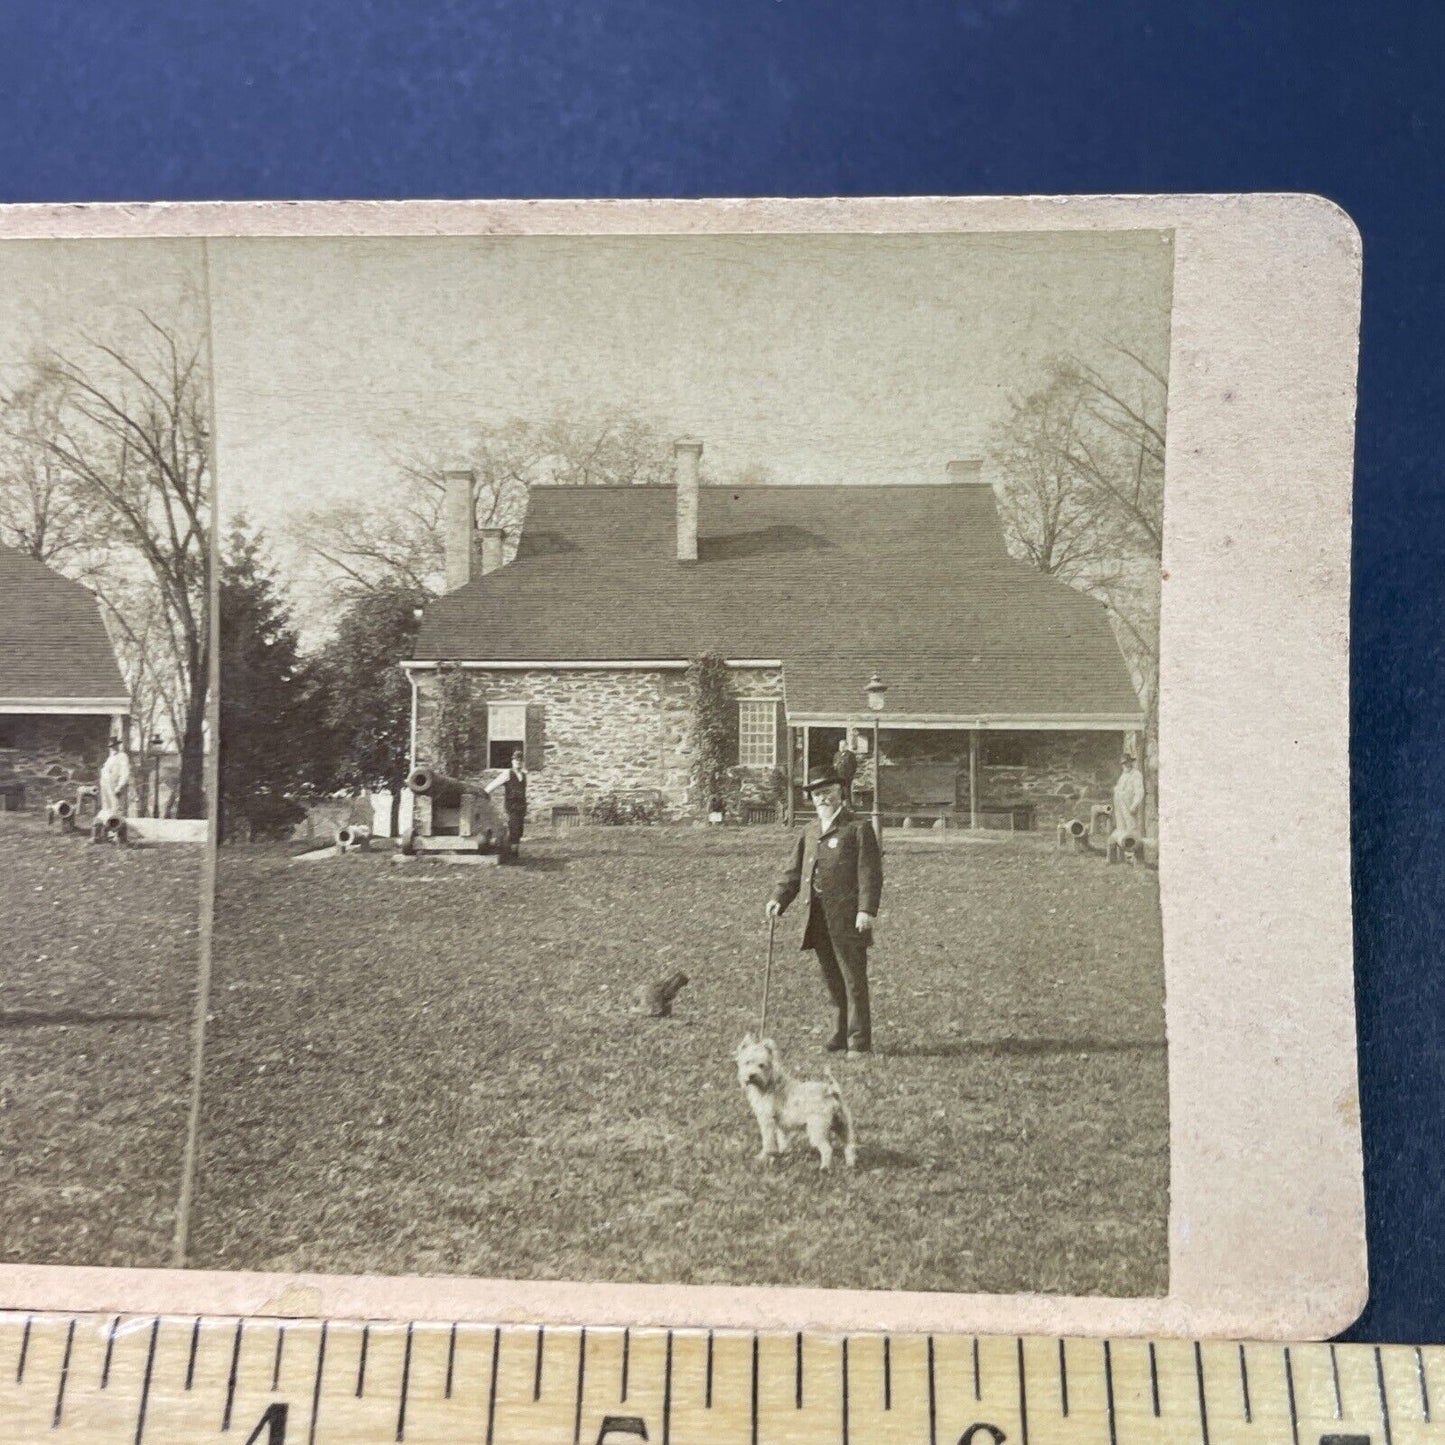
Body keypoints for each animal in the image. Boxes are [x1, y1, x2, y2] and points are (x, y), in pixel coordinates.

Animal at [739, 1034, 849, 1167]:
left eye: (761, 1065)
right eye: (747, 1062)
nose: (751, 1075)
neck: (769, 1083)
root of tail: (830, 1091)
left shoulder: (766, 1120)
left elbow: (768, 1141)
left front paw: (763, 1156)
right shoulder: (781, 1124)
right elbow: (782, 1139)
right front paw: (783, 1152)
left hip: (817, 1129)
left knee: (827, 1149)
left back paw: (824, 1167)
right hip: (843, 1125)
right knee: (849, 1145)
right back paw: (850, 1164)